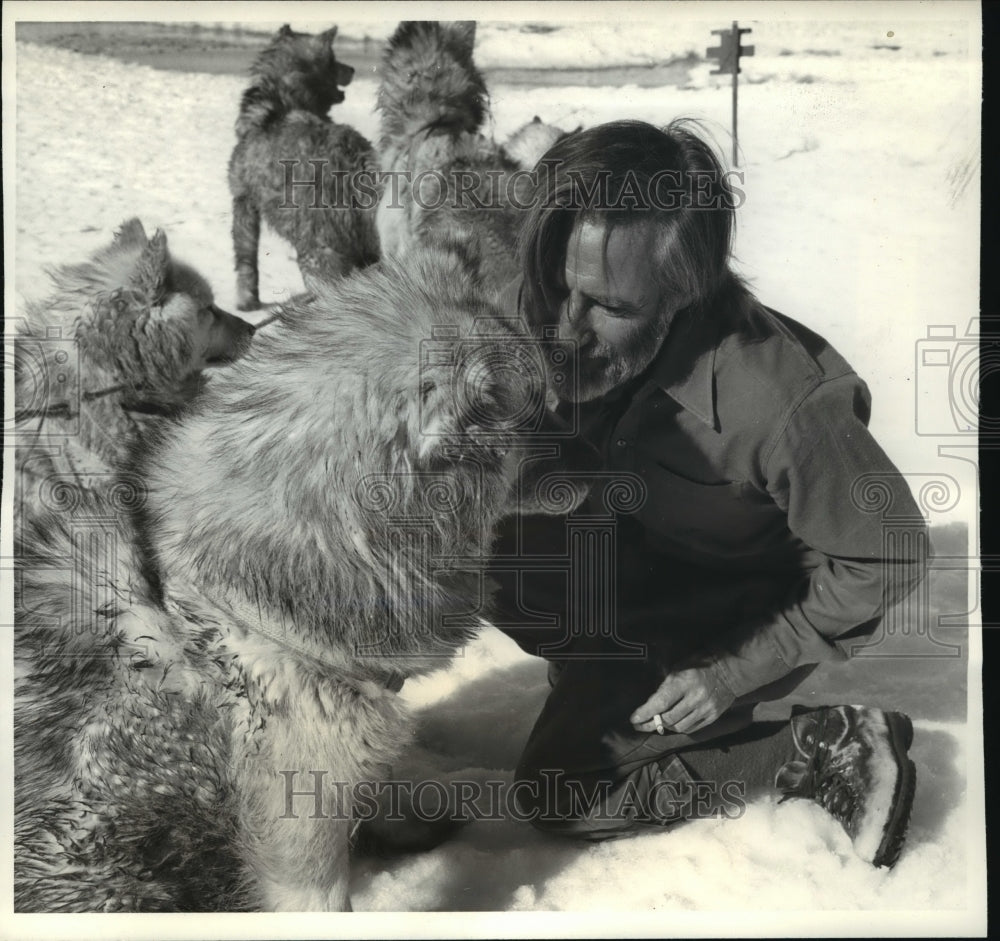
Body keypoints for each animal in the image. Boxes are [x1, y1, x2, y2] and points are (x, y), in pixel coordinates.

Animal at [229, 23, 380, 310]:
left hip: (318, 254)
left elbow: (245, 261)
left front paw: (246, 301)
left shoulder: (243, 201)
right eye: (335, 60)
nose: (352, 68)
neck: (283, 99)